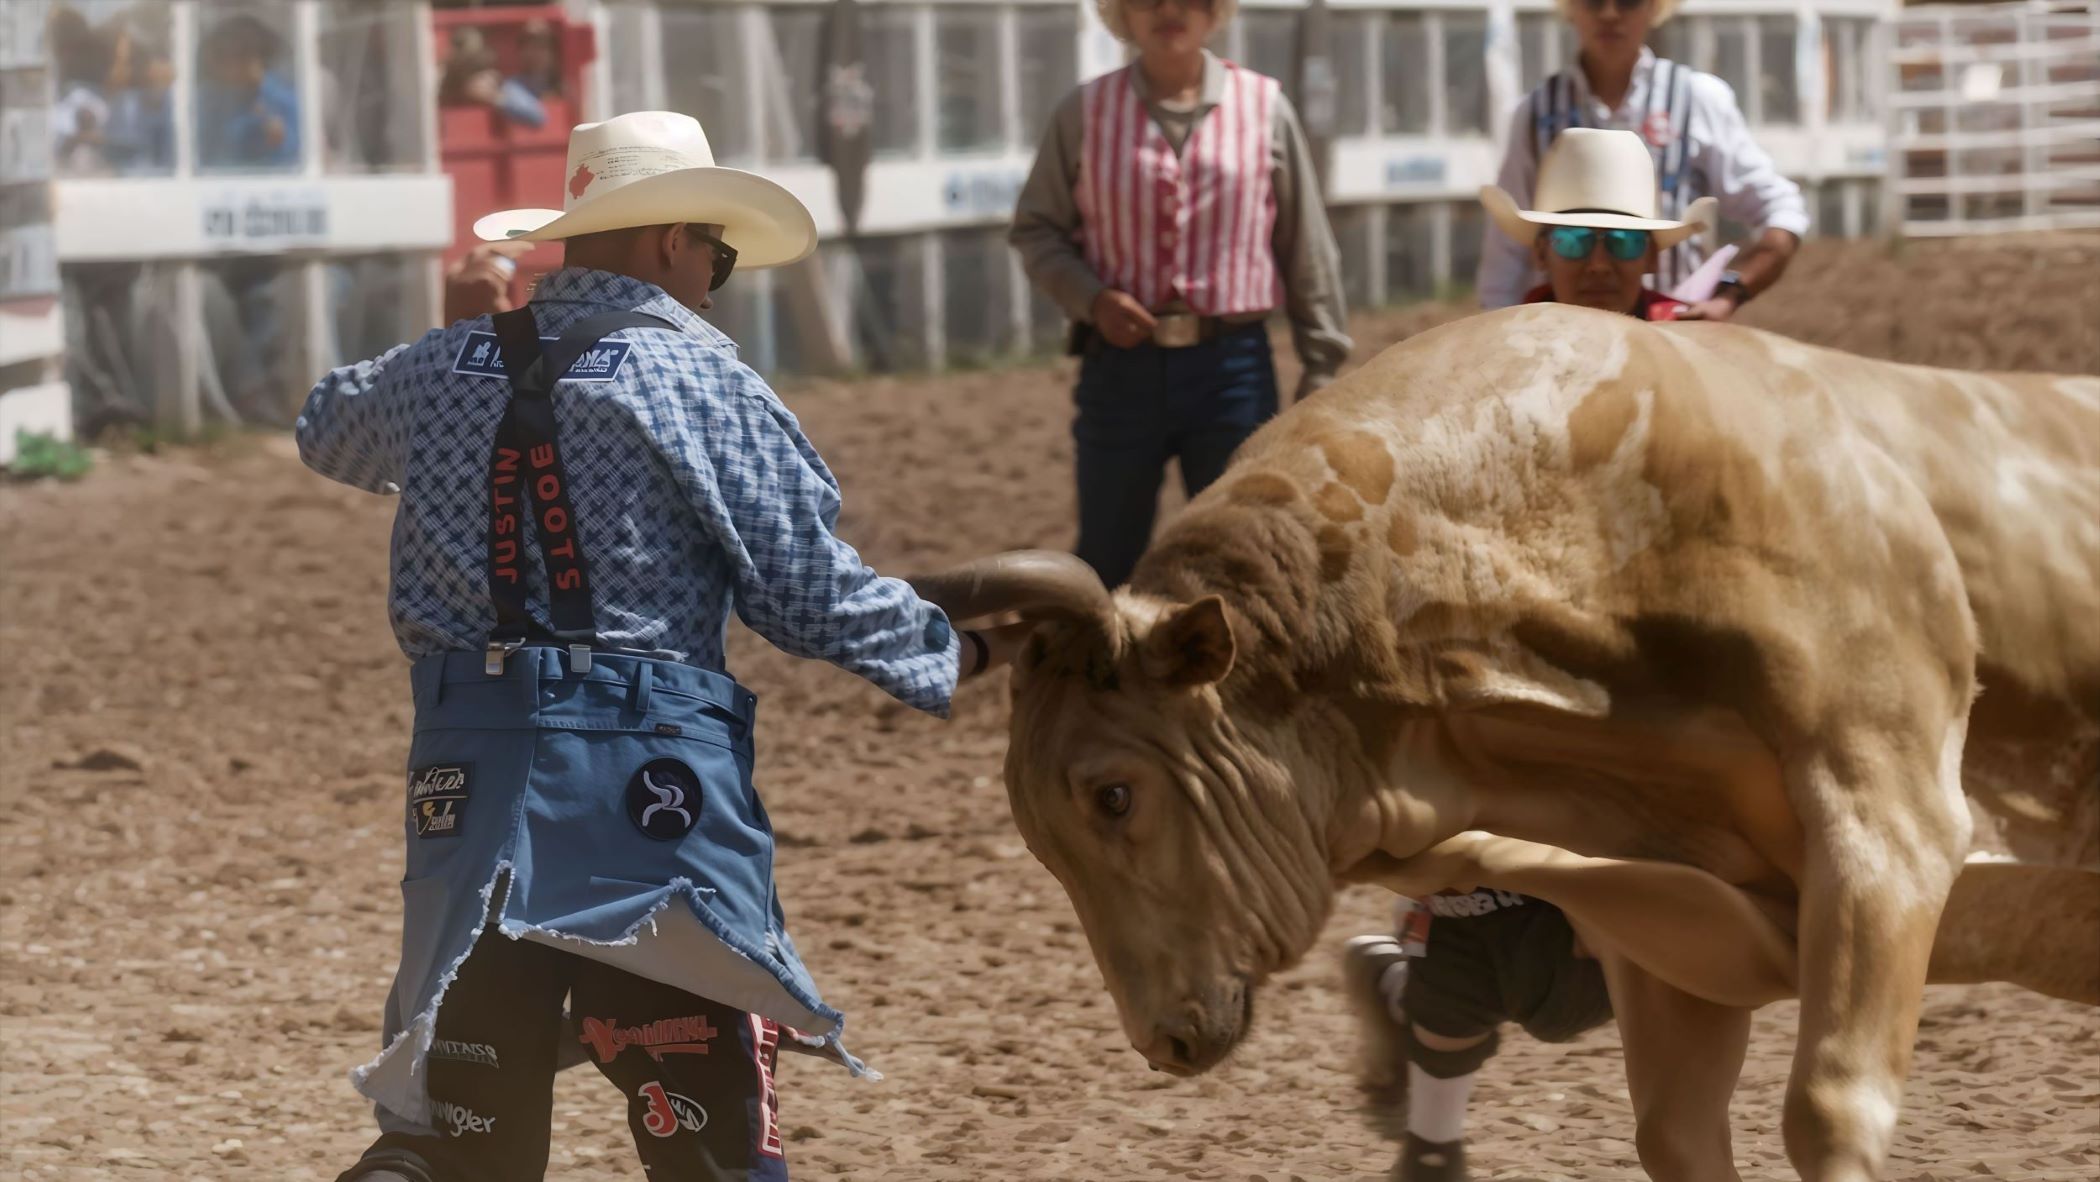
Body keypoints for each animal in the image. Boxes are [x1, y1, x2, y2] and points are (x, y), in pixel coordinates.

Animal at [919, 304, 2100, 1182]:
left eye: (1113, 794)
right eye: (1037, 834)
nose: (1162, 1036)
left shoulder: (1887, 824)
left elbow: (1831, 1109)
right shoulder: (1673, 936)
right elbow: (1674, 1133)